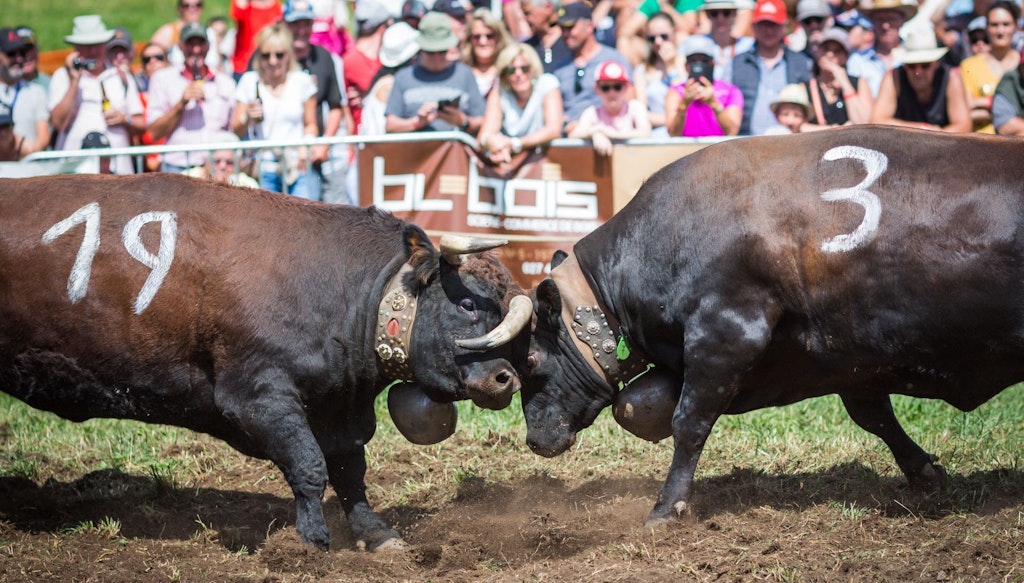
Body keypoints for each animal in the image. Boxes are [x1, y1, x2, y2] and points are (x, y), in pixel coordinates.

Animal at [0, 174, 532, 551]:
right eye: (468, 303)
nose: (505, 378)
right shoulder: (257, 397)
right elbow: (310, 467)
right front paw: (311, 545)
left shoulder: (339, 406)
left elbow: (350, 471)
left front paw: (376, 534)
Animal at [495, 126, 1024, 527]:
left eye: (532, 359)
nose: (534, 440)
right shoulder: (849, 352)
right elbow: (873, 416)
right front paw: (925, 475)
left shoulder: (726, 333)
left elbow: (688, 421)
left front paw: (668, 508)